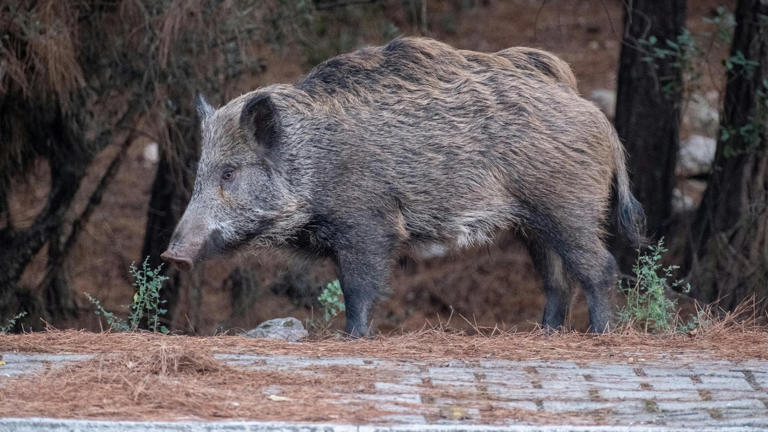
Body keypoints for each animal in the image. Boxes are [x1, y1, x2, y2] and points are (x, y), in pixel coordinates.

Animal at [161, 37, 645, 337]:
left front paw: (353, 339)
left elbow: (359, 289)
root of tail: (599, 118)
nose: (172, 255)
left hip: (567, 206)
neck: (313, 160)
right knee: (558, 280)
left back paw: (601, 334)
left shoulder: (368, 224)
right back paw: (545, 333)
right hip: (535, 221)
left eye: (230, 172)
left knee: (600, 267)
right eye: (201, 170)